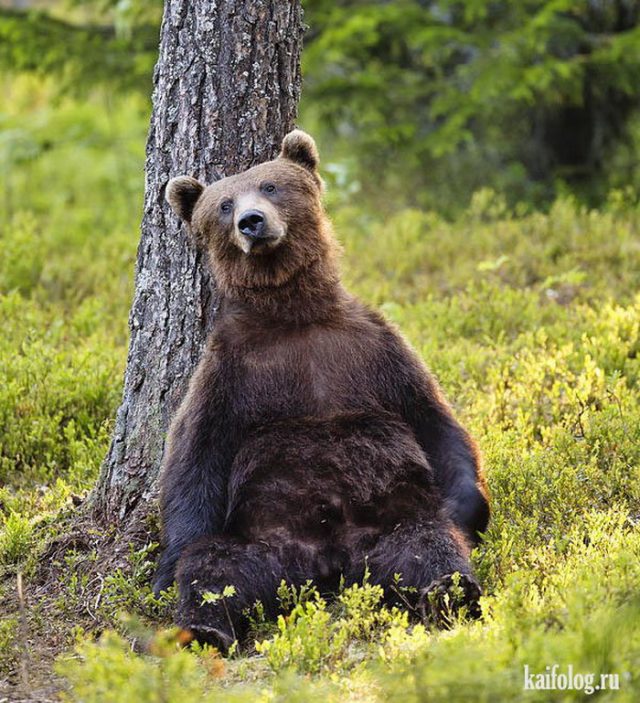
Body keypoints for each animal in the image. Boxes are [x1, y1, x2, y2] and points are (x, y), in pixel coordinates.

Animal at [155, 131, 490, 648]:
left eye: (271, 185)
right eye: (224, 205)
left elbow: (434, 419)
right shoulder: (230, 371)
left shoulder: (372, 348)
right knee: (218, 565)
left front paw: (467, 506)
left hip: (390, 525)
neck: (294, 315)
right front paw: (165, 565)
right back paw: (204, 627)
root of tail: (329, 563)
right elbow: (194, 456)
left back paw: (449, 590)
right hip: (262, 539)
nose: (251, 222)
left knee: (426, 544)